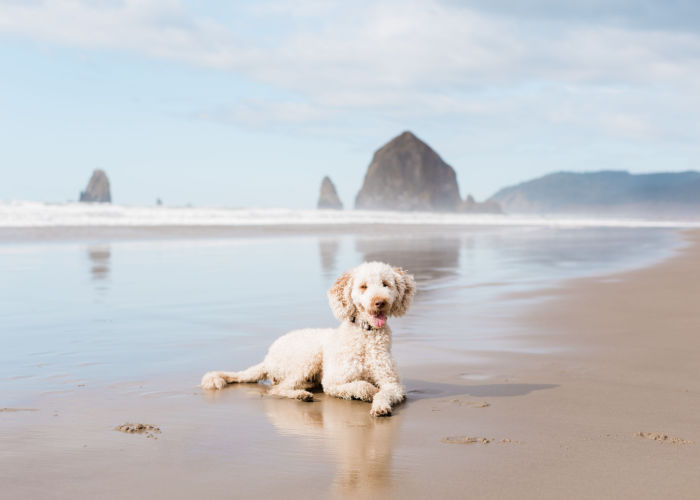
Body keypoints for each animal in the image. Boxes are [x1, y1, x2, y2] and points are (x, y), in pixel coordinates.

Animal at [200, 262, 412, 418]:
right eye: (363, 286)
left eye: (385, 284)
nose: (380, 302)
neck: (366, 336)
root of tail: (267, 358)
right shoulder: (333, 381)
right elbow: (362, 385)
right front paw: (370, 392)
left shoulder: (393, 384)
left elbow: (385, 392)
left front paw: (380, 405)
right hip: (309, 357)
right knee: (277, 389)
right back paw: (300, 395)